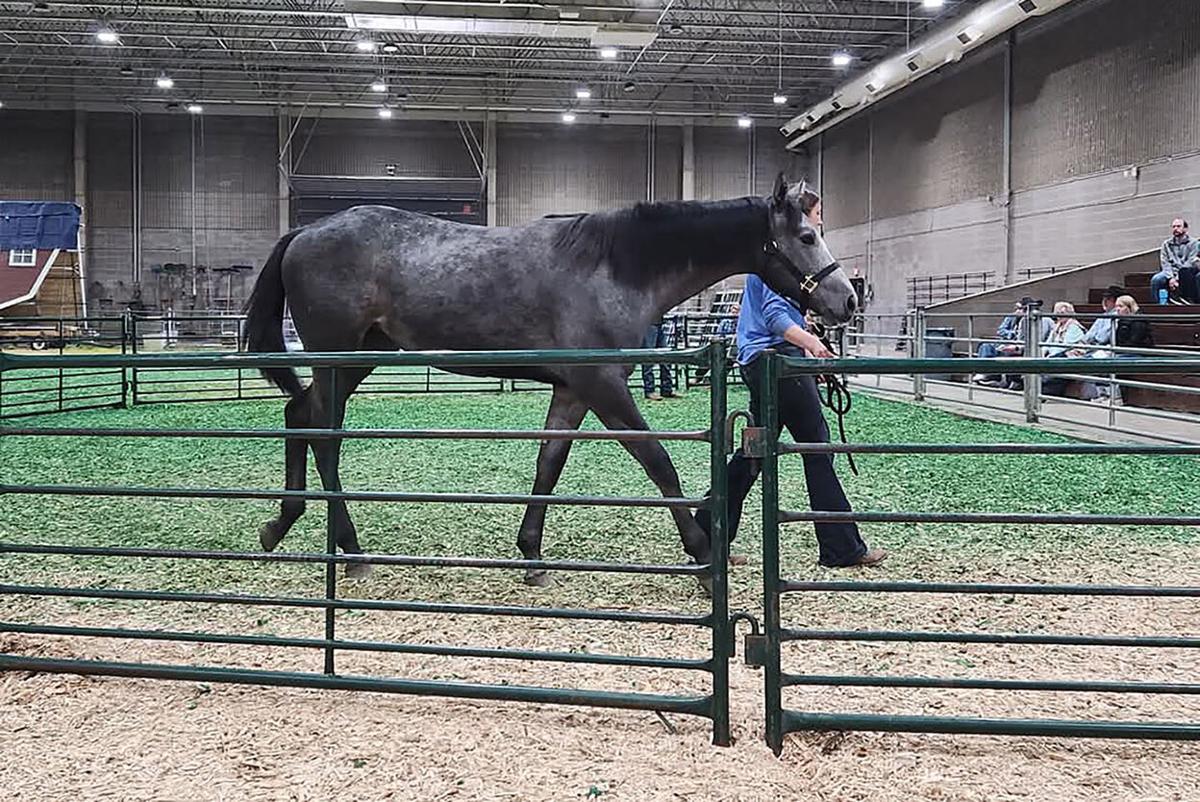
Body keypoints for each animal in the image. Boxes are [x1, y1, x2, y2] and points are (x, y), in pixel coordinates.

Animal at [243, 175, 857, 584]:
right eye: (806, 237)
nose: (846, 300)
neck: (613, 268)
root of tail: (306, 231)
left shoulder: (573, 390)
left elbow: (549, 463)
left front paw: (532, 554)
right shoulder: (604, 388)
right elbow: (659, 463)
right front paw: (704, 555)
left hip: (357, 359)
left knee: (300, 415)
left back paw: (281, 525)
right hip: (335, 356)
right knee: (323, 435)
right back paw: (350, 550)